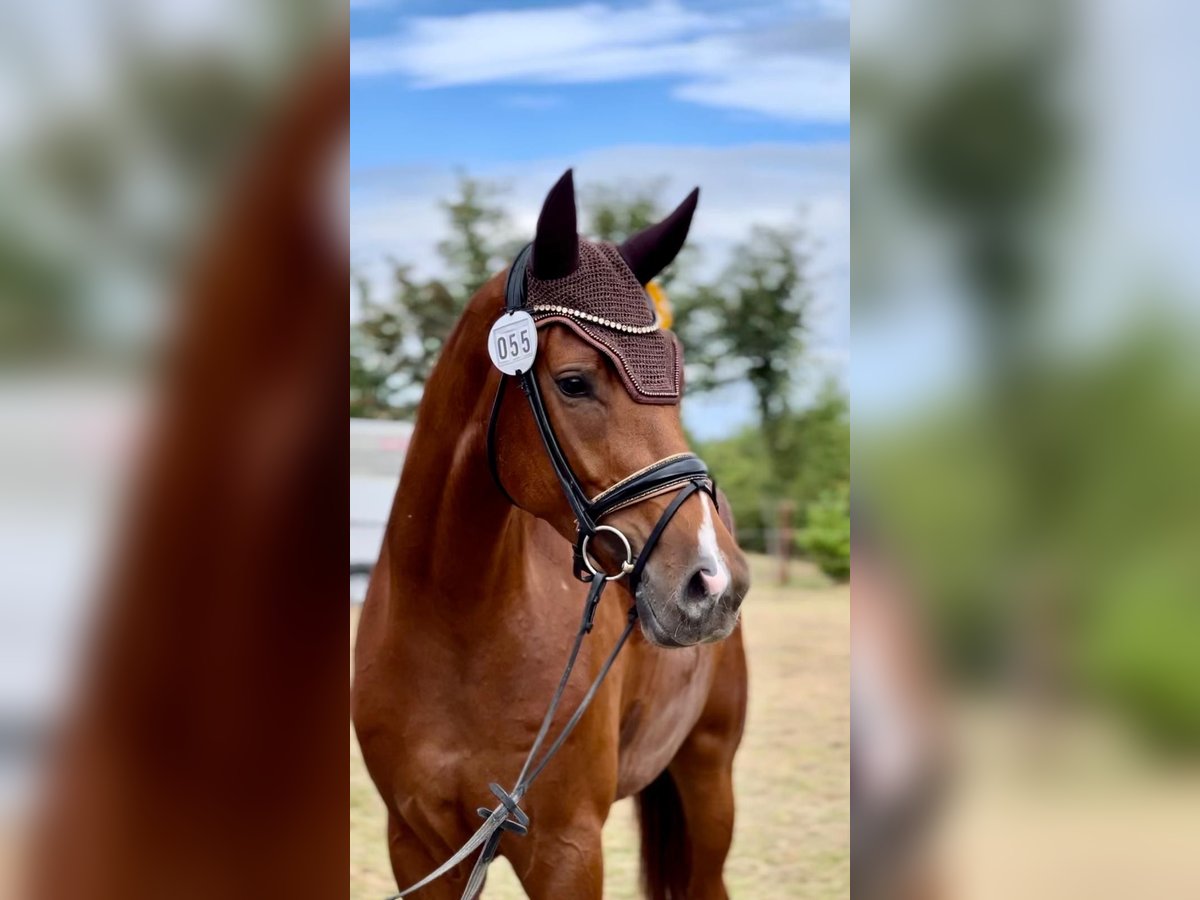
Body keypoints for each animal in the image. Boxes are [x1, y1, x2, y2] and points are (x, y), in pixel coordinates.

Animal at [350, 170, 748, 900]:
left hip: (709, 778)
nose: (714, 580)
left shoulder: (567, 851)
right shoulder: (418, 846)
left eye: (677, 381)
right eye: (573, 381)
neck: (457, 621)